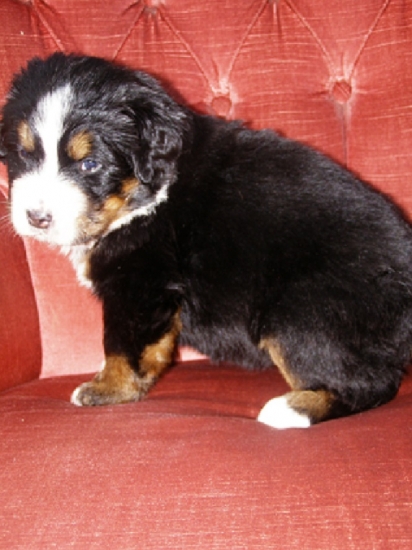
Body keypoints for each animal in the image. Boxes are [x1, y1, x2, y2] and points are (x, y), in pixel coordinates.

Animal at [1, 52, 412, 429]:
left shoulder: (139, 281)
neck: (146, 199)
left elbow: (120, 344)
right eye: (24, 154)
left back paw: (290, 410)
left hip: (299, 315)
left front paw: (107, 389)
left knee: (368, 384)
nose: (36, 218)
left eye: (90, 165)